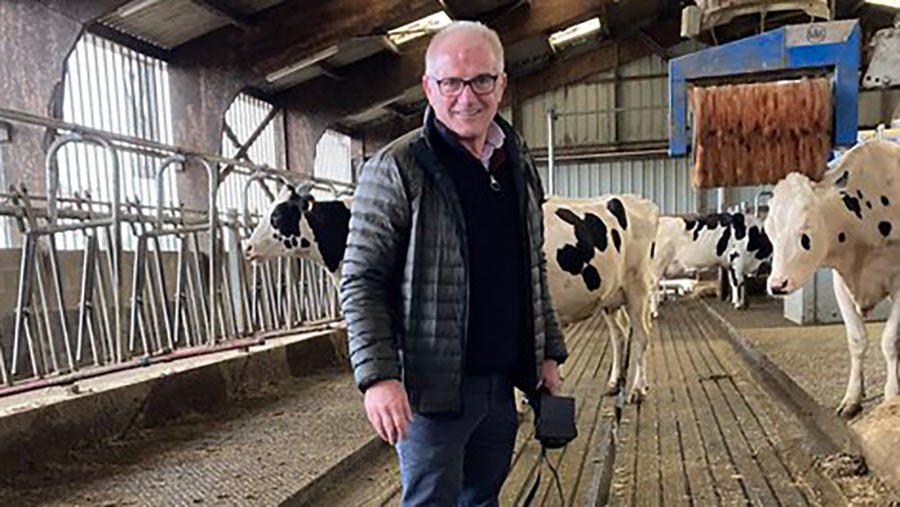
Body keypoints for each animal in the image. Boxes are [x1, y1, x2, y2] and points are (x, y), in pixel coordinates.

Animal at [768, 139, 900, 420]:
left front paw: (892, 396)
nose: (777, 285)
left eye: (805, 234)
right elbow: (857, 340)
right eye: (768, 230)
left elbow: (890, 340)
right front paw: (852, 398)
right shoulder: (841, 283)